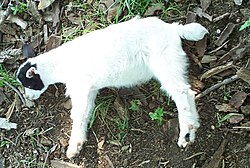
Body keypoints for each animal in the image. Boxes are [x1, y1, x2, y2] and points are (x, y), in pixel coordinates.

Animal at [16, 16, 209, 158]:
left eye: (29, 83)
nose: (28, 98)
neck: (59, 65)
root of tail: (173, 29)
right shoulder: (90, 90)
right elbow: (86, 113)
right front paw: (78, 143)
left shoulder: (80, 87)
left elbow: (78, 115)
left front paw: (73, 147)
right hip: (173, 63)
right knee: (188, 92)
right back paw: (193, 129)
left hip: (164, 62)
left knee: (181, 93)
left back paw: (185, 134)